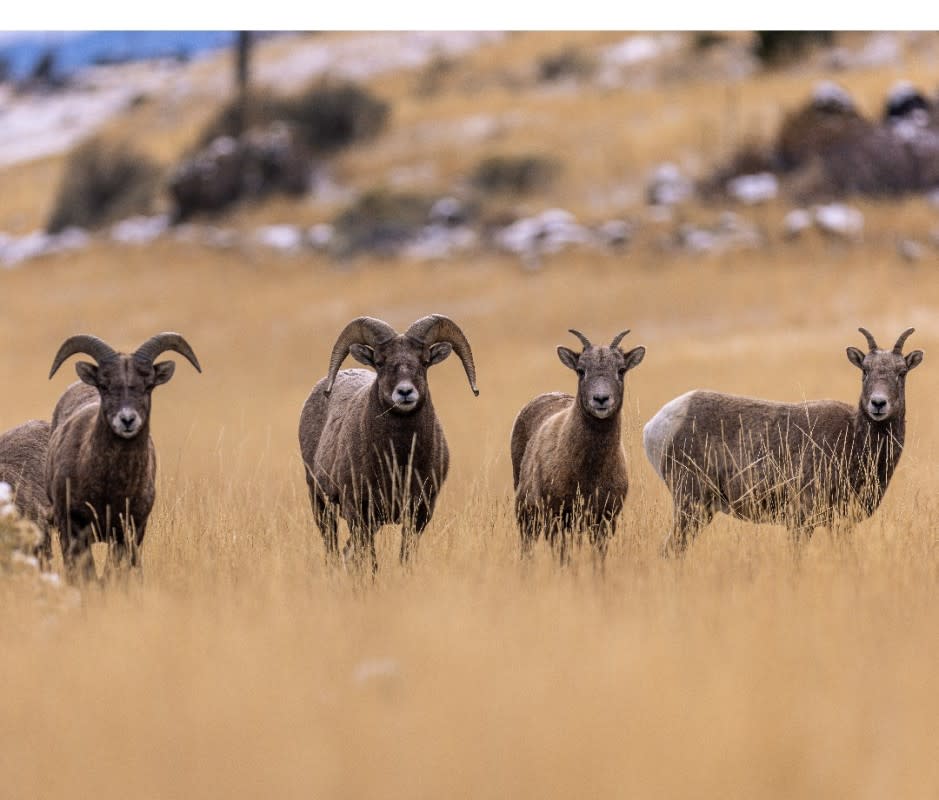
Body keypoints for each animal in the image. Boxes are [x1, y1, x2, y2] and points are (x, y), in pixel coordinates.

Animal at [46, 332, 201, 580]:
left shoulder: (129, 530)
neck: (110, 488)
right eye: (104, 385)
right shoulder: (73, 528)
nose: (127, 420)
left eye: (148, 385)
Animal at [300, 314, 482, 576]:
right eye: (380, 362)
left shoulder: (418, 514)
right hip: (320, 502)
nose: (405, 392)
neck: (399, 460)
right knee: (332, 546)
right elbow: (370, 562)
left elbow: (405, 557)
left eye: (424, 361)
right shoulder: (360, 515)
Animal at [510, 328, 648, 560]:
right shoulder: (557, 519)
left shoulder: (604, 521)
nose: (601, 399)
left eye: (621, 370)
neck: (589, 474)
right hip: (527, 517)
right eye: (581, 370)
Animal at [648, 328, 924, 552]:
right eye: (865, 370)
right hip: (690, 507)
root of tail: (655, 426)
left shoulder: (840, 524)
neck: (854, 440)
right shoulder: (801, 520)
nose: (878, 403)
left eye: (901, 372)